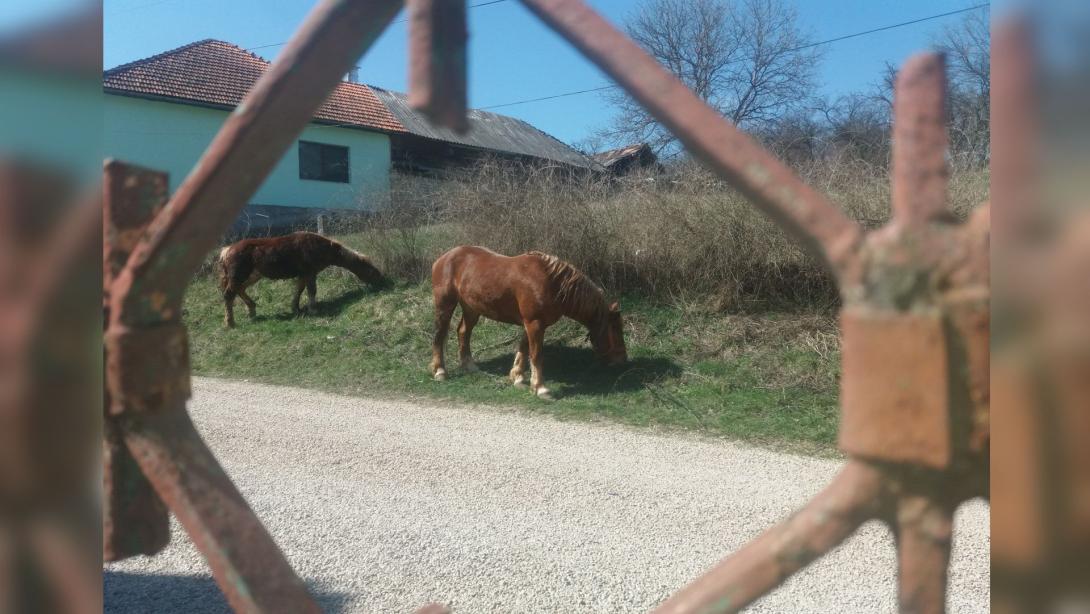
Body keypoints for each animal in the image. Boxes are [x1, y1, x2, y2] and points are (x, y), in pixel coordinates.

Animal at [215, 231, 388, 327]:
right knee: (229, 295)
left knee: (239, 290)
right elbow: (311, 290)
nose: (383, 281)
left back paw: (252, 310)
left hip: (252, 275)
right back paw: (230, 322)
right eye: (371, 269)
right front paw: (313, 309)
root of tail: (227, 250)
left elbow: (299, 290)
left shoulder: (304, 274)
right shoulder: (310, 273)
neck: (320, 246)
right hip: (239, 276)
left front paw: (296, 308)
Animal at [429, 245, 627, 399]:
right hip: (445, 304)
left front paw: (517, 377)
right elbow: (536, 355)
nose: (622, 360)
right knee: (439, 335)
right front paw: (540, 388)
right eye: (615, 329)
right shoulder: (535, 323)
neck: (552, 283)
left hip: (472, 308)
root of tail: (444, 258)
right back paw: (440, 371)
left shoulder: (530, 323)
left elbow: (524, 348)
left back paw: (469, 366)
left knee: (463, 331)